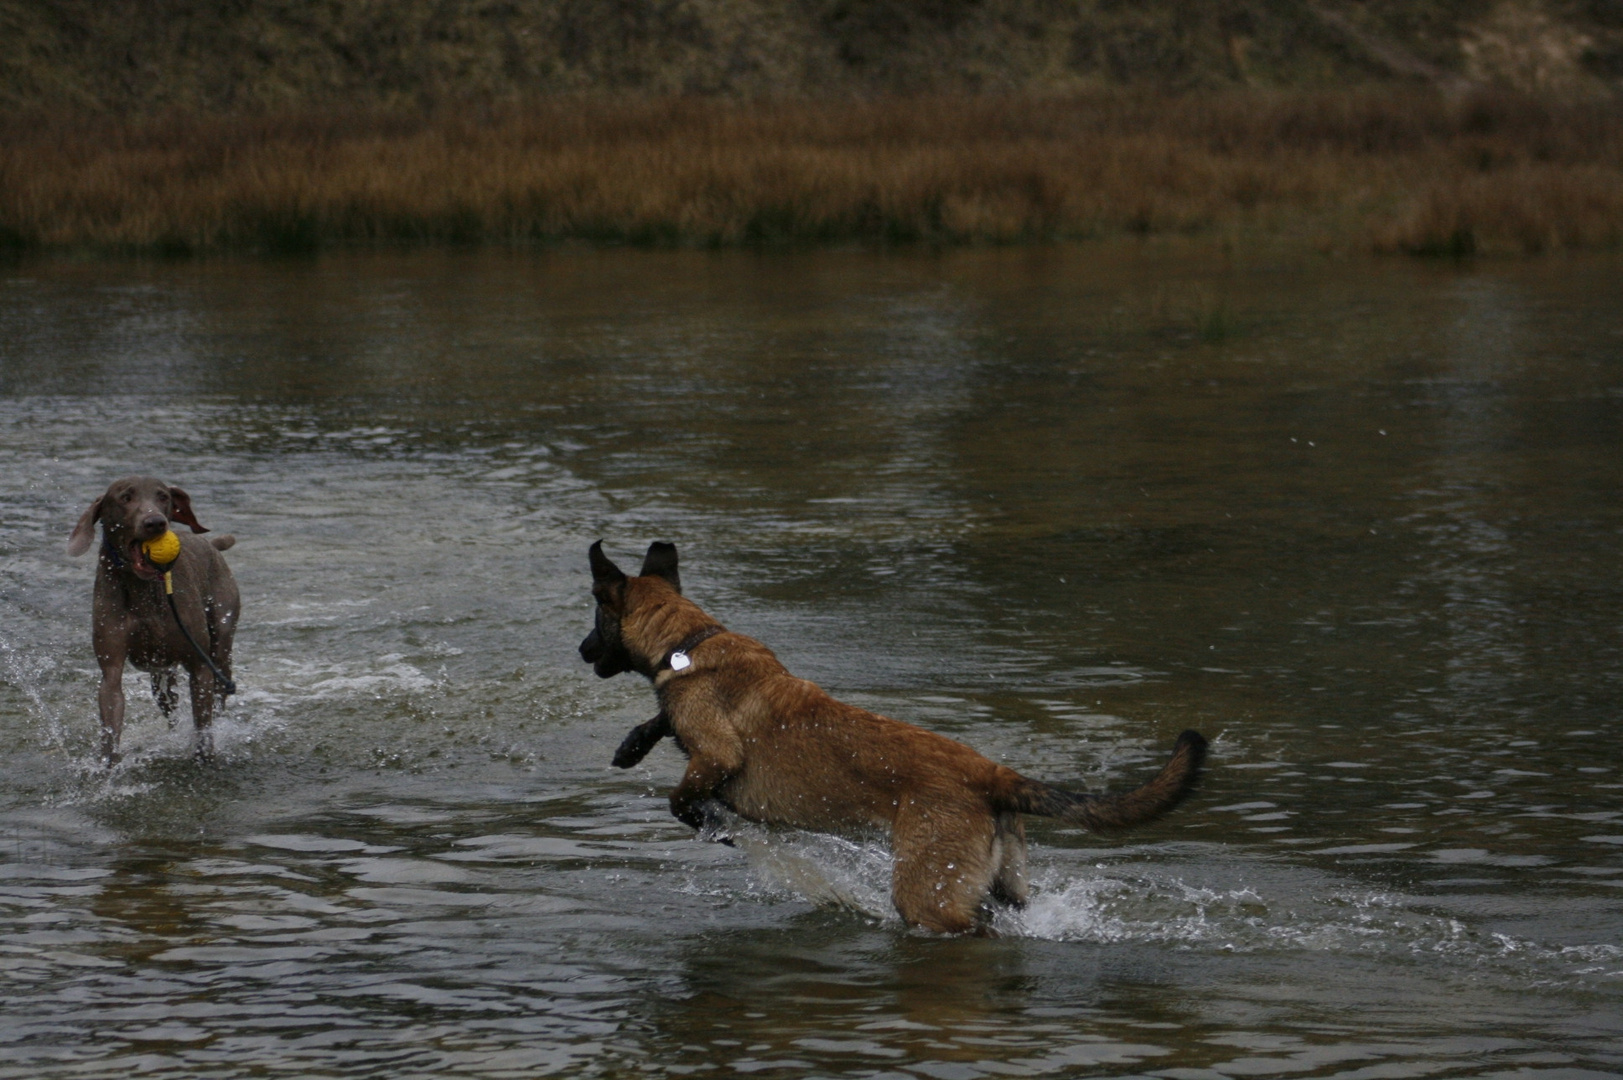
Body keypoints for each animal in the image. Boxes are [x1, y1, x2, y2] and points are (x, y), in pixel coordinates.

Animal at [67, 477, 240, 763]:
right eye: (125, 498)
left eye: (163, 497)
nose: (156, 522)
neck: (143, 591)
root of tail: (212, 545)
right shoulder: (111, 668)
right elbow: (110, 722)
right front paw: (108, 766)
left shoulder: (199, 666)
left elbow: (203, 725)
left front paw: (204, 757)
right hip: (162, 677)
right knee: (169, 702)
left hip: (221, 640)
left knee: (220, 689)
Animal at [584, 542, 1207, 928]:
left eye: (594, 619)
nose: (583, 650)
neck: (688, 641)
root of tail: (993, 774)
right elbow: (660, 722)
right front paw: (632, 745)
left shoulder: (717, 754)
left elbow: (683, 798)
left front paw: (718, 827)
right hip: (1000, 886)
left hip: (927, 893)